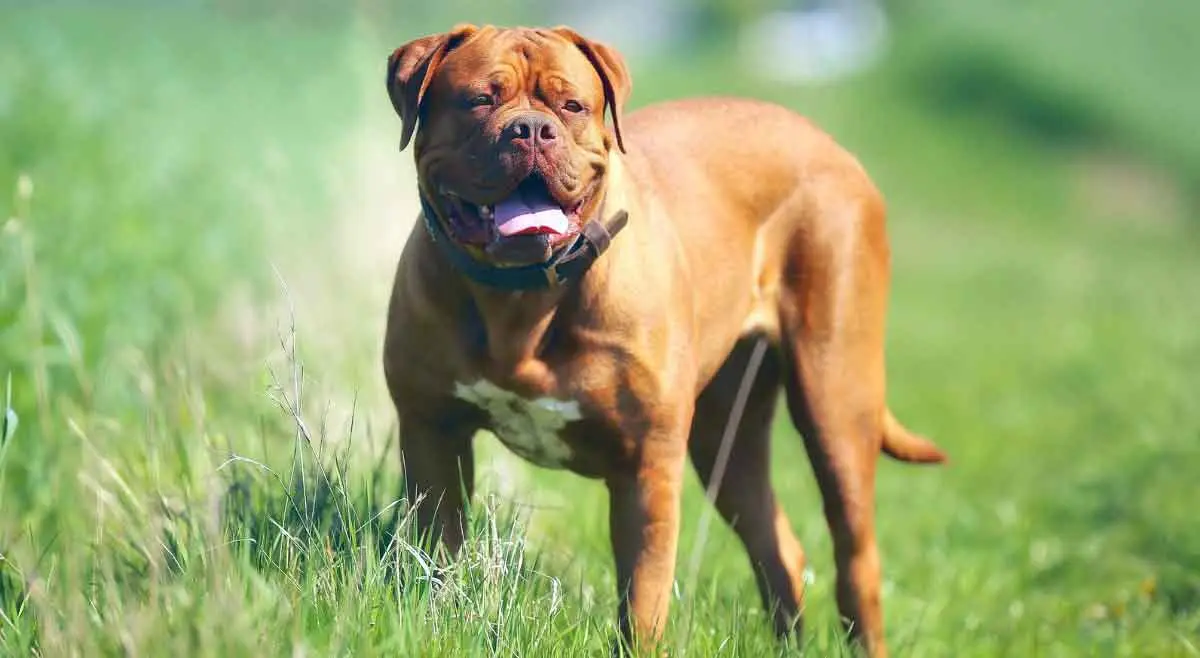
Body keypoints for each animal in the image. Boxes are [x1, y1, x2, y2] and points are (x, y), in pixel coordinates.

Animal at [384, 24, 945, 658]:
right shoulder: (432, 432)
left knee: (856, 559)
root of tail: (830, 144)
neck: (521, 297)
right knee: (776, 544)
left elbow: (642, 597)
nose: (530, 129)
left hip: (836, 401)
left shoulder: (646, 466)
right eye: (480, 99)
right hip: (724, 435)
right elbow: (437, 555)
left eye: (571, 106)